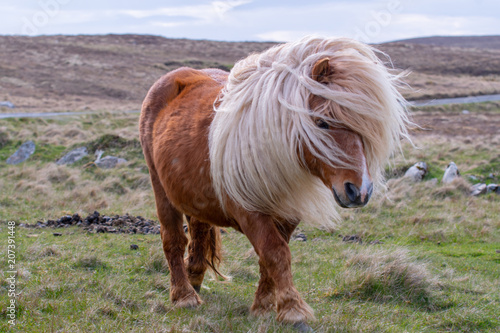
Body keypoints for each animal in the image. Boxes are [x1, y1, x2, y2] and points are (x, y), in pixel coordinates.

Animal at [138, 35, 410, 326]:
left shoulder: (288, 211)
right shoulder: (249, 210)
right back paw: (184, 295)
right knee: (173, 240)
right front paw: (292, 309)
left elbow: (270, 258)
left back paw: (195, 281)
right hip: (160, 188)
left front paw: (264, 305)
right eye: (322, 122)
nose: (359, 191)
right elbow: (275, 253)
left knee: (199, 232)